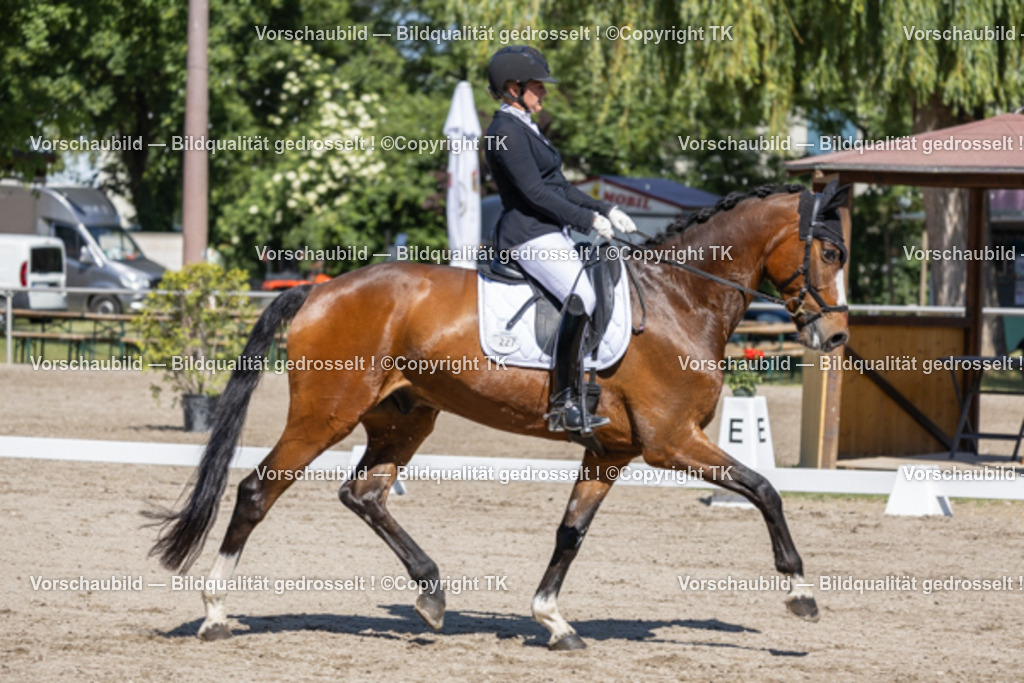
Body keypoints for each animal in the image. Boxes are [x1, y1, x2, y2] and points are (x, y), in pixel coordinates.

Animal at [148, 182, 851, 650]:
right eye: (831, 255)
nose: (836, 338)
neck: (682, 299)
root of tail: (319, 289)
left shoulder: (612, 451)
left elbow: (570, 532)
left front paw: (553, 620)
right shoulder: (672, 441)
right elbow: (763, 488)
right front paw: (800, 593)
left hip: (405, 418)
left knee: (364, 493)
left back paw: (432, 594)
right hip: (325, 417)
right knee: (257, 490)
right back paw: (215, 612)